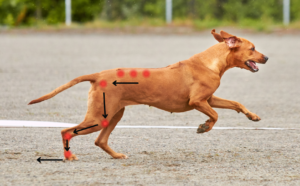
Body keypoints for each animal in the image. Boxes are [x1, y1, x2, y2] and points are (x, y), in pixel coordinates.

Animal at [28, 29, 268, 160]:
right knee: (66, 131)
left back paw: (117, 155)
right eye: (253, 48)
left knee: (100, 140)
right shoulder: (198, 101)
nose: (266, 57)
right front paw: (204, 127)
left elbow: (236, 103)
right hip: (98, 118)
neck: (211, 62)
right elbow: (216, 116)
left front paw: (253, 116)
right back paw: (70, 156)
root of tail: (98, 75)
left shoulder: (210, 99)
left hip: (112, 115)